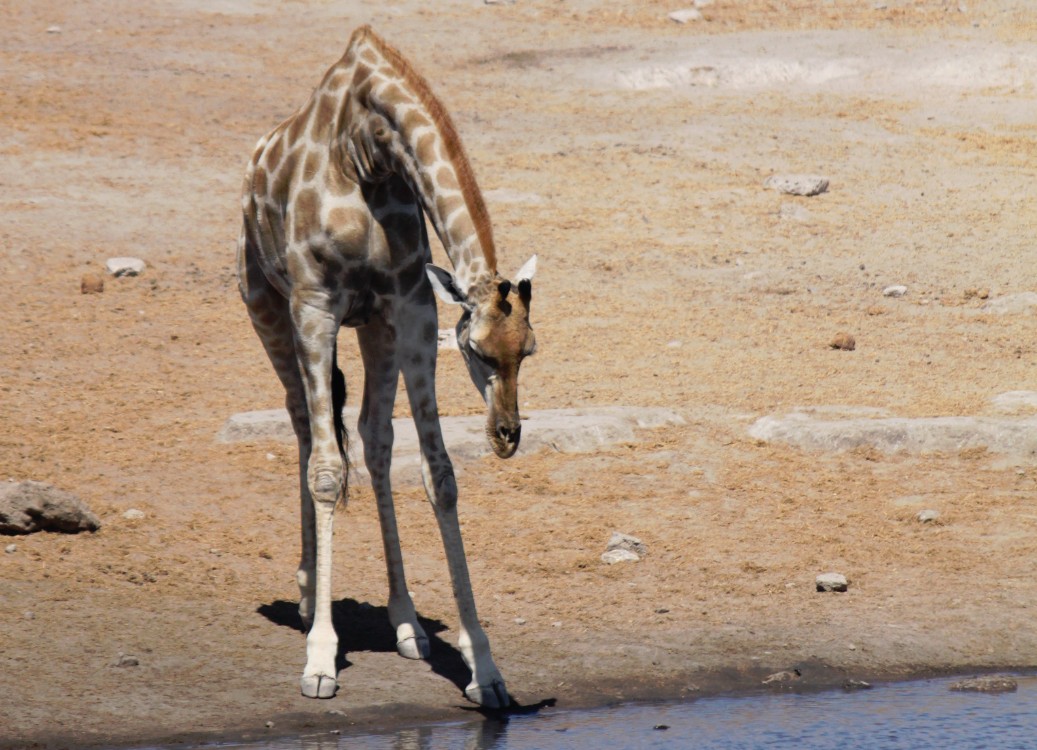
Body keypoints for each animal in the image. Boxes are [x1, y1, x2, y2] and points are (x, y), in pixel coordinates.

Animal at [234, 23, 535, 705]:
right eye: (478, 352)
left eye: (527, 350)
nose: (507, 435)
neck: (366, 150)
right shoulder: (314, 301)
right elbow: (325, 469)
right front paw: (320, 659)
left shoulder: (412, 302)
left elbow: (438, 473)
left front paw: (485, 669)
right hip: (265, 306)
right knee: (304, 425)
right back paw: (305, 593)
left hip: (373, 326)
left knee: (372, 438)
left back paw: (405, 621)